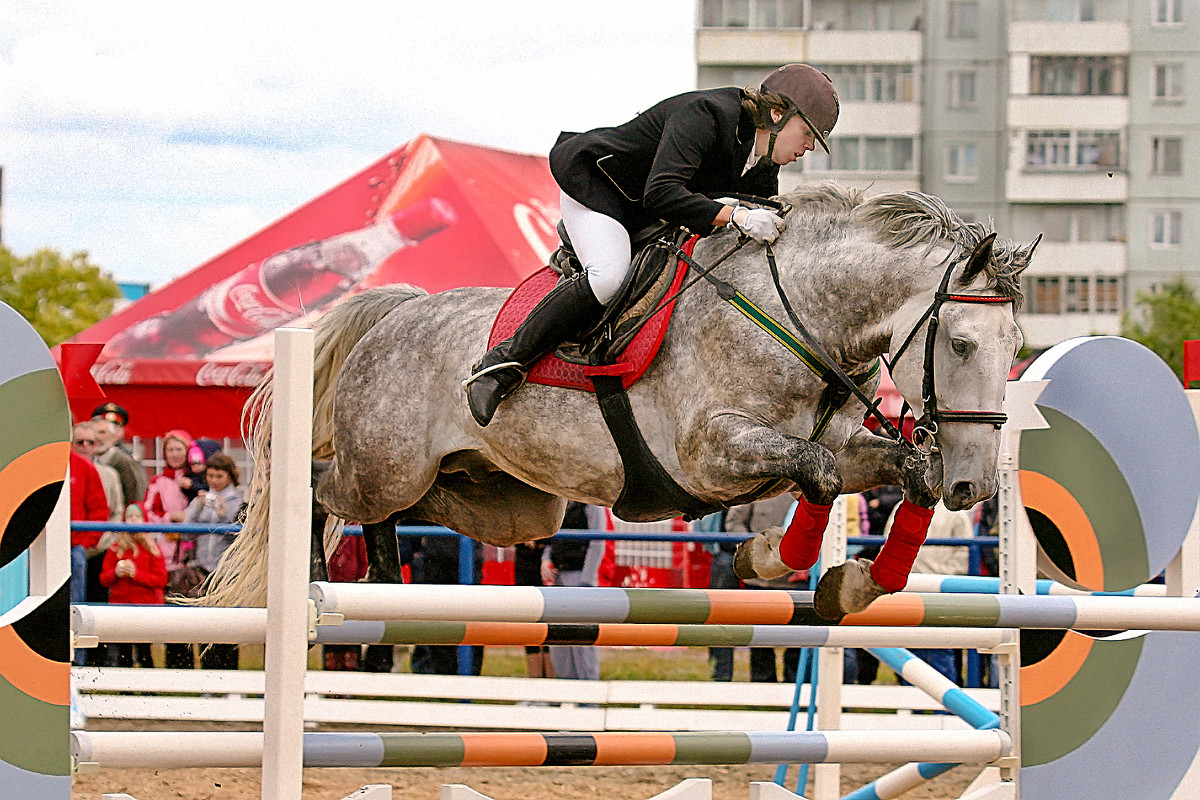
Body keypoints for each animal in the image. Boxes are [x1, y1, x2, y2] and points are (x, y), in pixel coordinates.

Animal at [204, 185, 1032, 614]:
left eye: (1017, 345)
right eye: (962, 343)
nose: (971, 484)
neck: (792, 314)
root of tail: (395, 311)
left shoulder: (839, 446)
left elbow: (890, 473)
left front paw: (859, 582)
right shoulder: (710, 453)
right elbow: (818, 476)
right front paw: (768, 559)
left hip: (509, 503)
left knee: (409, 513)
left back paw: (380, 579)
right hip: (385, 465)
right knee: (321, 489)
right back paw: (312, 580)